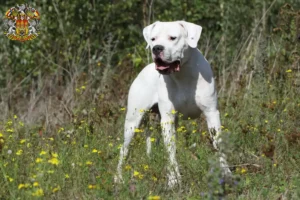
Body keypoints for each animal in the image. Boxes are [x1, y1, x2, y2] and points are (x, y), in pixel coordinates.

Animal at [115, 20, 232, 188]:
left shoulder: (212, 114)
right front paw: (173, 181)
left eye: (173, 38)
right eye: (153, 39)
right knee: (124, 150)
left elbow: (219, 145)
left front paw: (226, 175)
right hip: (133, 122)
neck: (183, 74)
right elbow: (170, 152)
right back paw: (118, 178)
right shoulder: (168, 120)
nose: (157, 48)